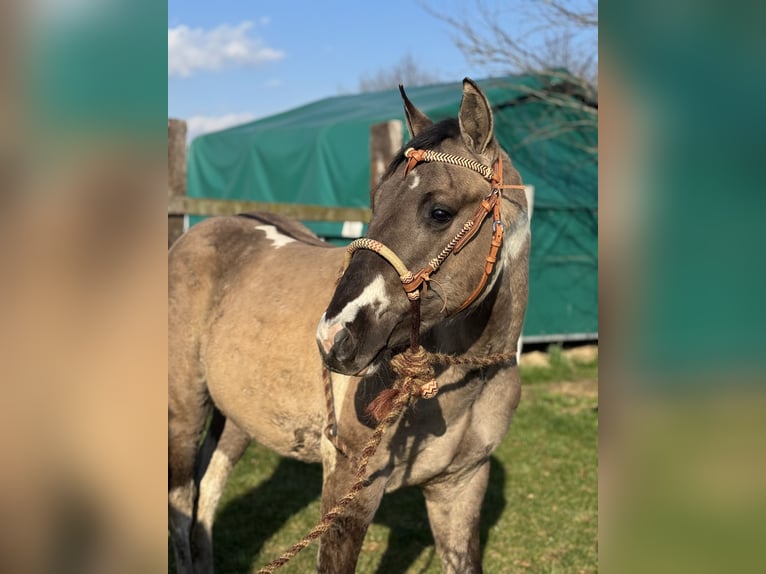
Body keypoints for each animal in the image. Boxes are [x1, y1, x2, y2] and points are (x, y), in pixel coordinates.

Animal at [168, 78, 530, 574]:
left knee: (209, 488)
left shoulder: (461, 488)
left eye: (439, 211)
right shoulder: (348, 493)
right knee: (181, 504)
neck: (464, 382)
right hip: (183, 415)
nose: (333, 336)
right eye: (376, 203)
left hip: (237, 417)